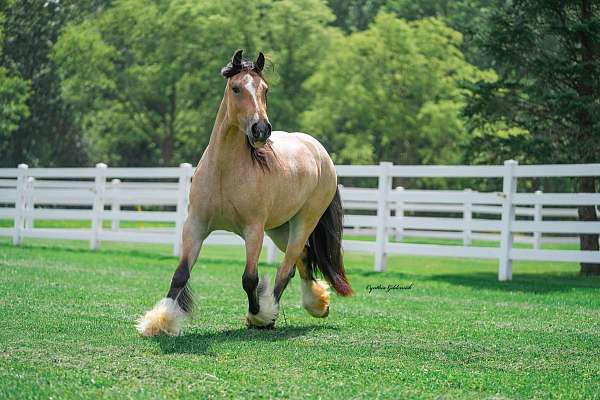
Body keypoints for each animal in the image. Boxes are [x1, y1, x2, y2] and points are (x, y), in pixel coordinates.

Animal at [136, 48, 352, 334]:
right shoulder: (195, 225)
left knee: (287, 268)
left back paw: (270, 316)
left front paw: (257, 314)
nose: (261, 129)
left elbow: (249, 278)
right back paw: (317, 303)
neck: (224, 172)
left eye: (265, 89)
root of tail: (319, 151)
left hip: (303, 222)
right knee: (302, 259)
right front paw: (159, 321)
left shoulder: (253, 230)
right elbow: (181, 273)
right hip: (280, 228)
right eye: (236, 88)